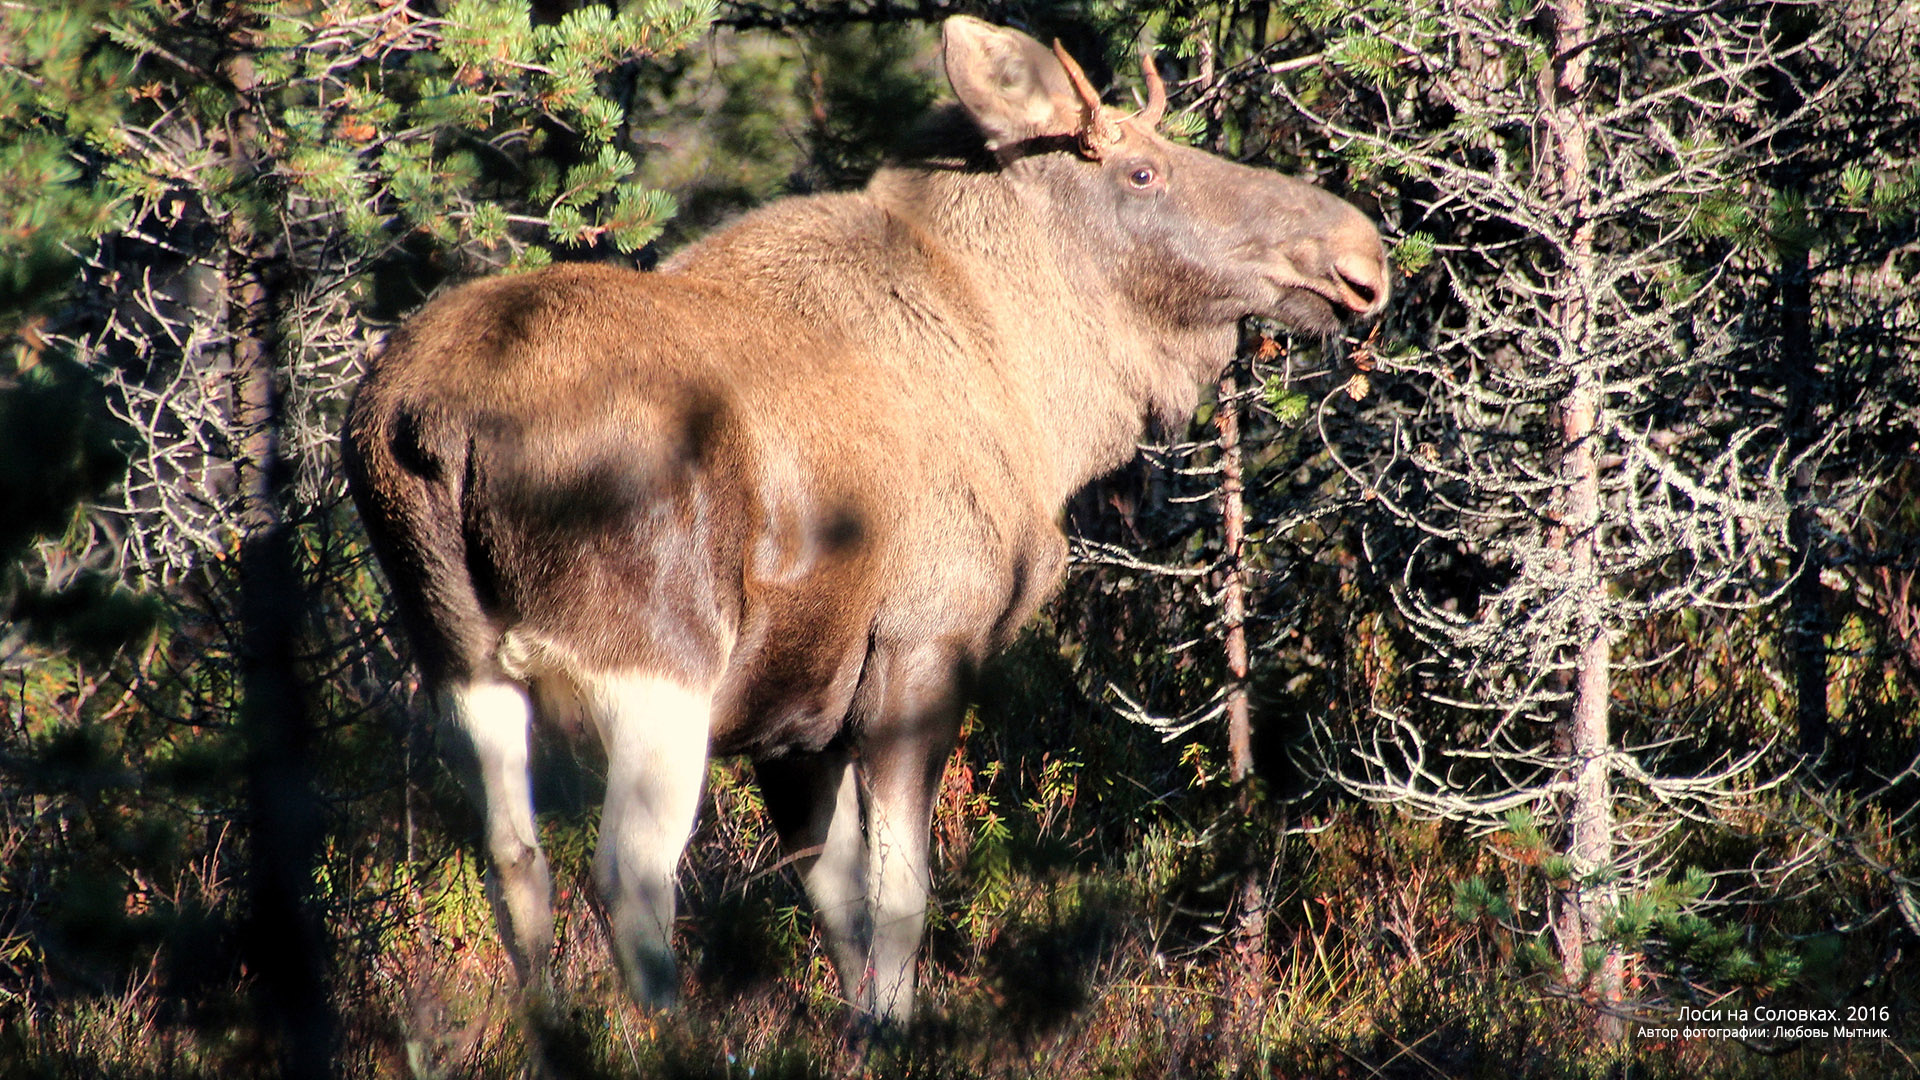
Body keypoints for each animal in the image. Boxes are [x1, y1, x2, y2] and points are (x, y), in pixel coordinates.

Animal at [345, 18, 1382, 1022]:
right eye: (1141, 171)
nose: (1363, 255)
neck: (1033, 390)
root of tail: (424, 425)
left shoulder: (795, 723)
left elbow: (836, 907)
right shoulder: (923, 646)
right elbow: (900, 899)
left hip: (461, 666)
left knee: (516, 868)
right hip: (656, 663)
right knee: (631, 881)